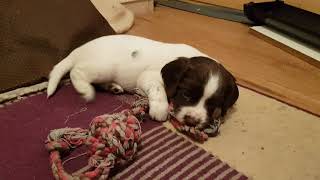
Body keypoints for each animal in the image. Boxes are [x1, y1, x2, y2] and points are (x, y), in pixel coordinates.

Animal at [47, 34, 238, 129]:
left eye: (213, 105)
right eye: (186, 95)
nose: (192, 121)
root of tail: (76, 51)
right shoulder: (149, 77)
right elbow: (159, 91)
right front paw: (160, 110)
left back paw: (113, 87)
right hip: (103, 67)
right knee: (76, 72)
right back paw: (85, 90)